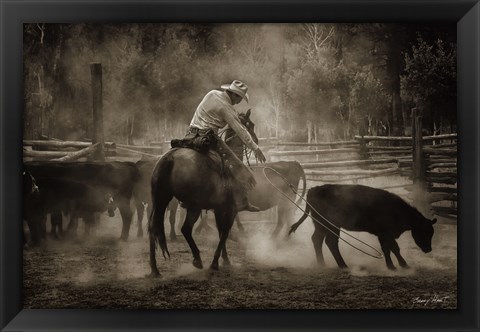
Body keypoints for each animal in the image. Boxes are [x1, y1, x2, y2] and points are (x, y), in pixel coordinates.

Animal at [149, 110, 258, 276]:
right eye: (250, 125)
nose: (256, 140)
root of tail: (169, 158)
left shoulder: (219, 209)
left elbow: (220, 232)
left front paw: (225, 260)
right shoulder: (231, 209)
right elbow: (224, 233)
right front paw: (215, 263)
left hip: (161, 199)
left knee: (152, 227)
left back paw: (155, 269)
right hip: (194, 206)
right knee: (185, 229)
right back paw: (198, 260)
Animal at [286, 184, 436, 270]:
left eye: (431, 233)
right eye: (423, 232)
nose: (429, 249)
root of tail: (312, 190)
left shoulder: (383, 235)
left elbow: (390, 249)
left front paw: (399, 265)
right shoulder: (384, 233)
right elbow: (392, 248)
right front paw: (396, 265)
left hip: (324, 225)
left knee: (319, 240)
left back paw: (324, 264)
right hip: (328, 225)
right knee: (329, 242)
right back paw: (341, 265)